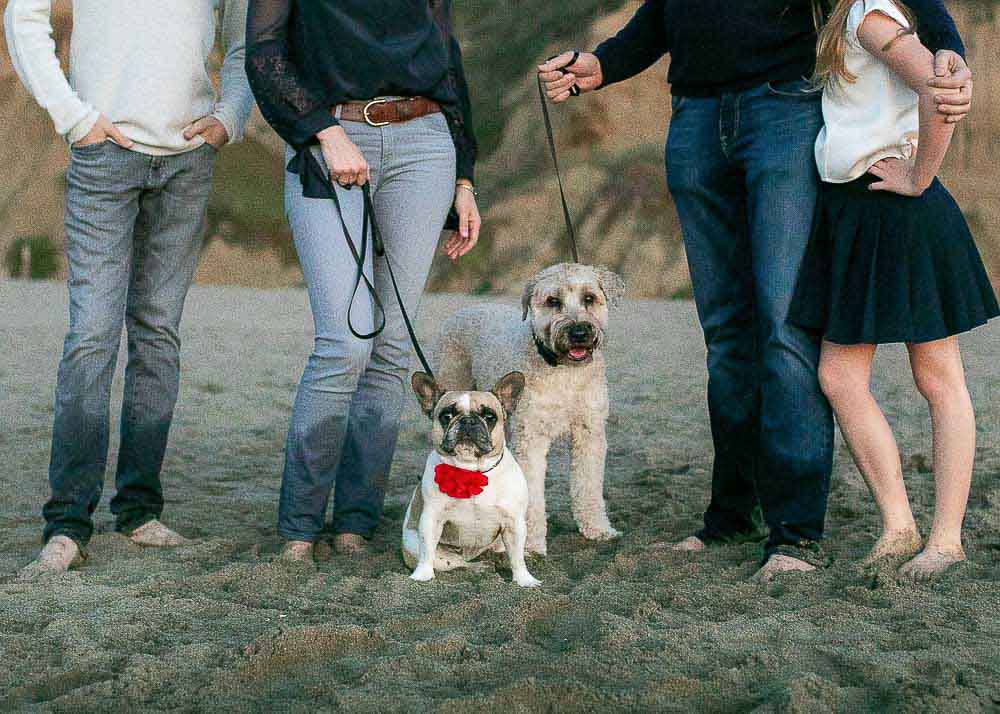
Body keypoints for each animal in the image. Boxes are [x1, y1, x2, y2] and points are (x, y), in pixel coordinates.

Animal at [438, 260, 624, 552]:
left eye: (589, 298)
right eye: (553, 301)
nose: (579, 333)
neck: (565, 373)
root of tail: (465, 309)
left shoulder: (589, 434)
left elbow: (588, 486)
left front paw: (597, 529)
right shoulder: (531, 438)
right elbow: (533, 496)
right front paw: (531, 545)